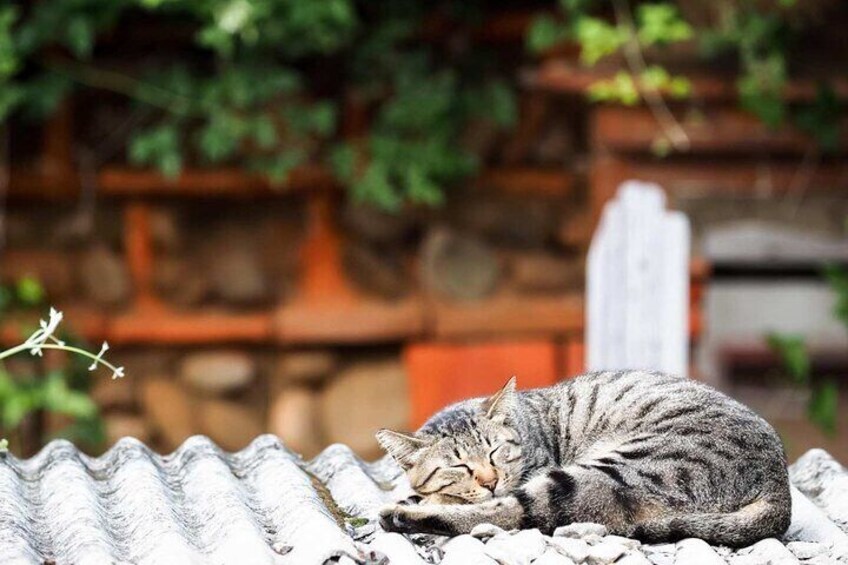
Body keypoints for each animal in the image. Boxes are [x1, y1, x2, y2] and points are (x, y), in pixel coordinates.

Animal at [374, 368, 792, 544]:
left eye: (495, 451)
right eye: (459, 466)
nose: (490, 481)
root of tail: (779, 483)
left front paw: (423, 500)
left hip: (604, 472)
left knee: (512, 514)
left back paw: (402, 515)